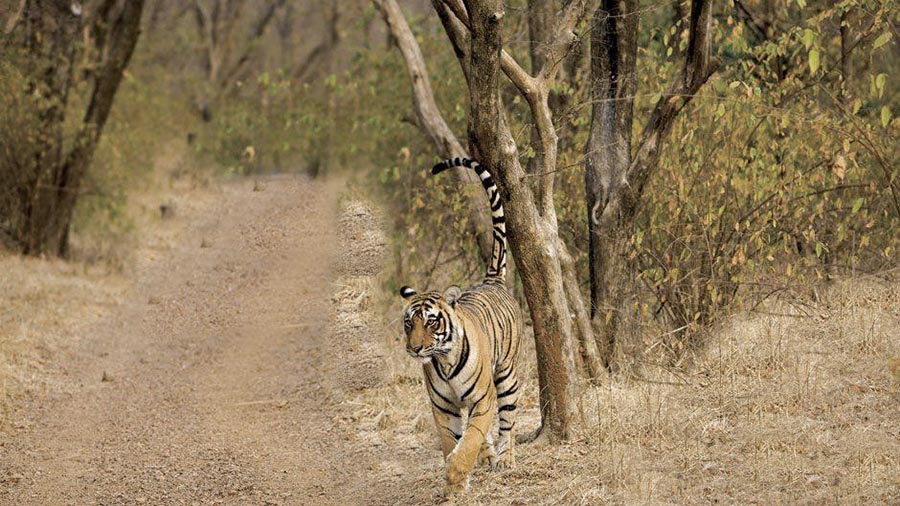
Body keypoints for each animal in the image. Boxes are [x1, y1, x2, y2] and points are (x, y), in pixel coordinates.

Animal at [400, 157, 520, 494]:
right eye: (408, 323)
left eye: (431, 321)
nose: (415, 349)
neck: (444, 361)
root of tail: (492, 280)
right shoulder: (443, 408)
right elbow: (450, 441)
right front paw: (455, 483)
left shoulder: (483, 399)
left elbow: (469, 440)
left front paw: (457, 474)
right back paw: (490, 455)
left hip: (506, 374)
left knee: (508, 420)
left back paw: (505, 459)